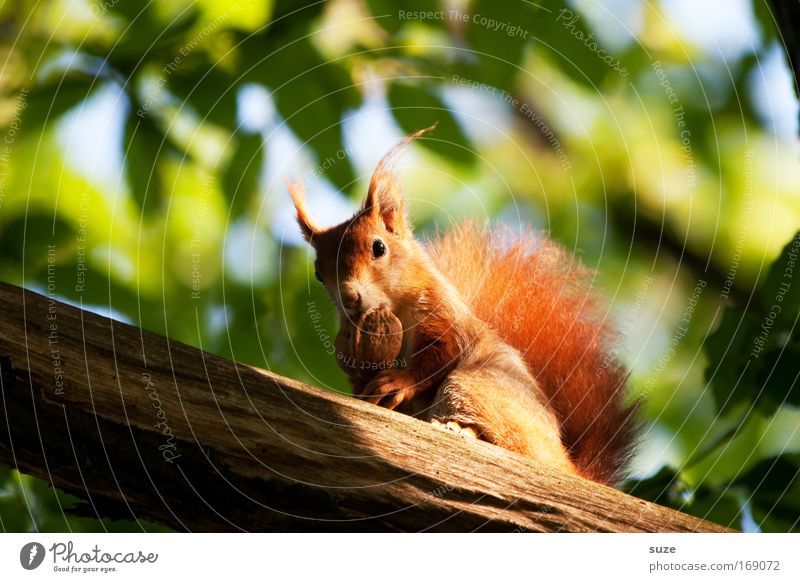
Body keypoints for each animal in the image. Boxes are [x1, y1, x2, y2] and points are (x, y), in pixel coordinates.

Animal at [286, 129, 636, 488]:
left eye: (378, 247)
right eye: (319, 273)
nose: (350, 298)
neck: (395, 307)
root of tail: (564, 462)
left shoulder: (444, 316)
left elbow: (441, 355)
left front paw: (398, 381)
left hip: (474, 387)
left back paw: (460, 429)